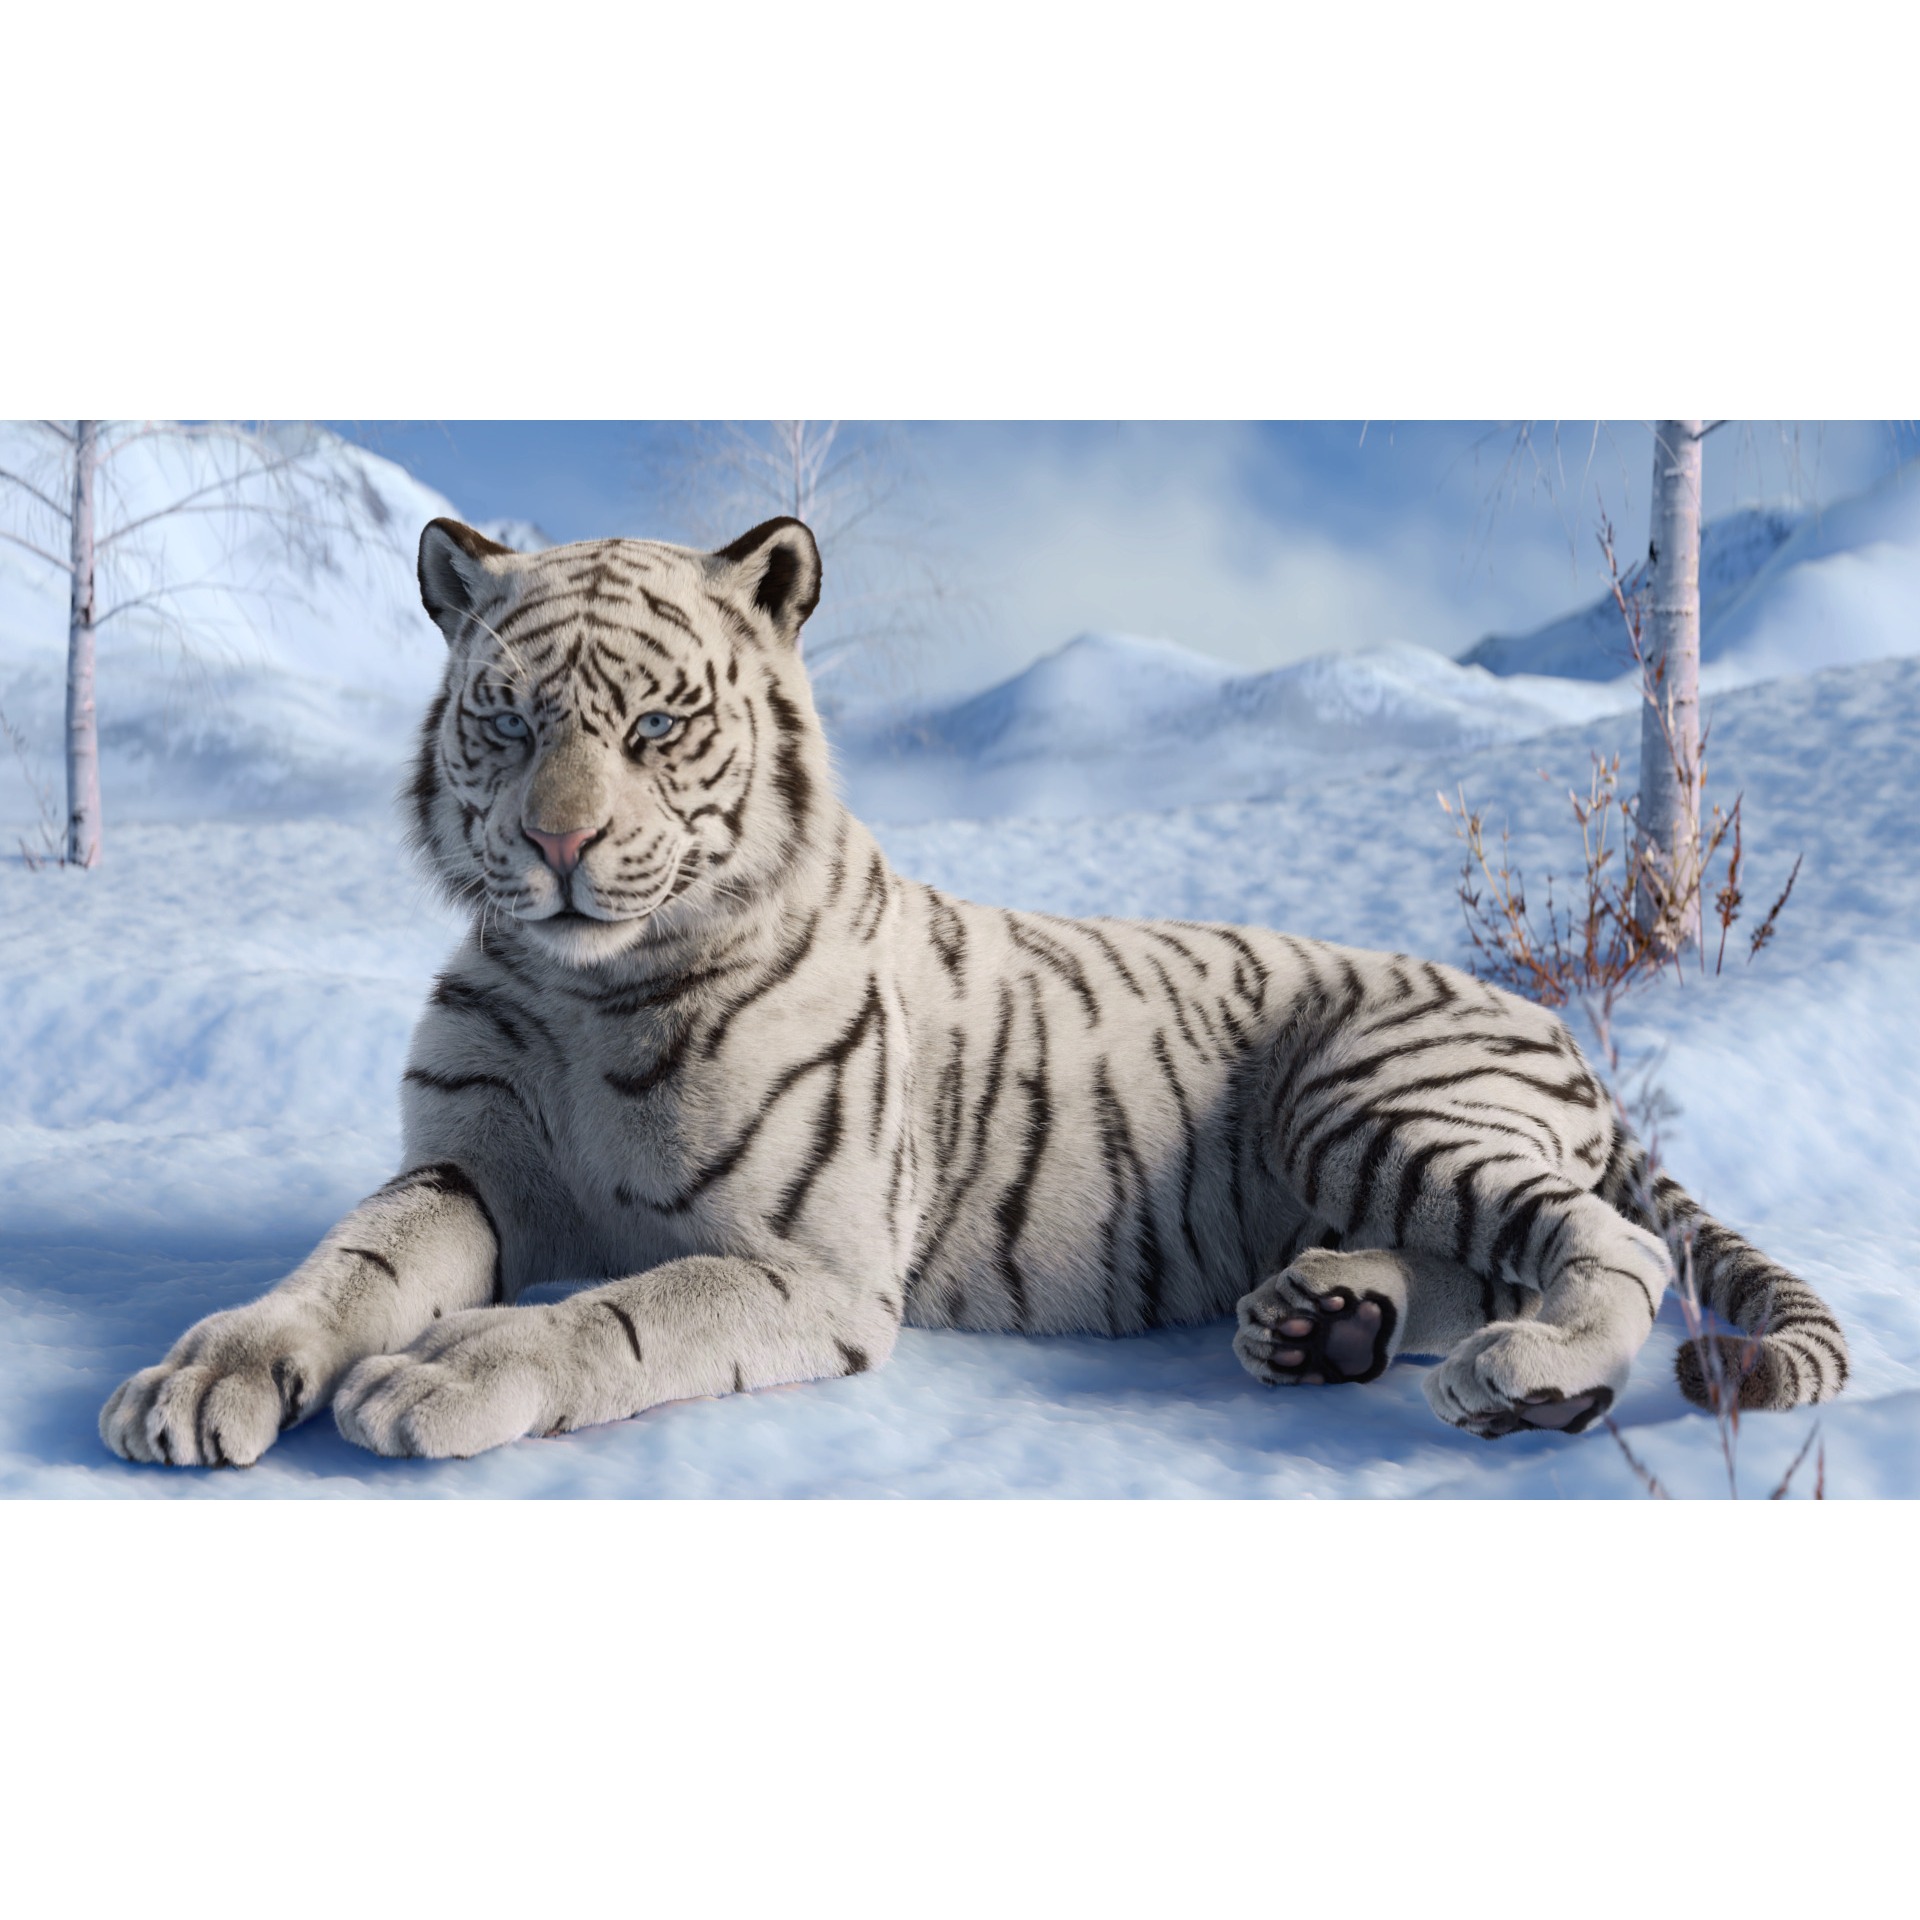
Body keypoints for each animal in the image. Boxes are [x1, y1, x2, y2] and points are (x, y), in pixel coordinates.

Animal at [99, 515, 1850, 1468]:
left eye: (657, 726)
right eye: (510, 721)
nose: (562, 843)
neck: (594, 991)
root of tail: (1546, 1019)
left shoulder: (806, 1262)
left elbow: (619, 1312)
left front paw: (440, 1376)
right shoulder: (466, 1165)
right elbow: (338, 1268)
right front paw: (202, 1377)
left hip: (1369, 1099)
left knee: (1608, 1244)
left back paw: (1519, 1374)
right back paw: (1319, 1319)